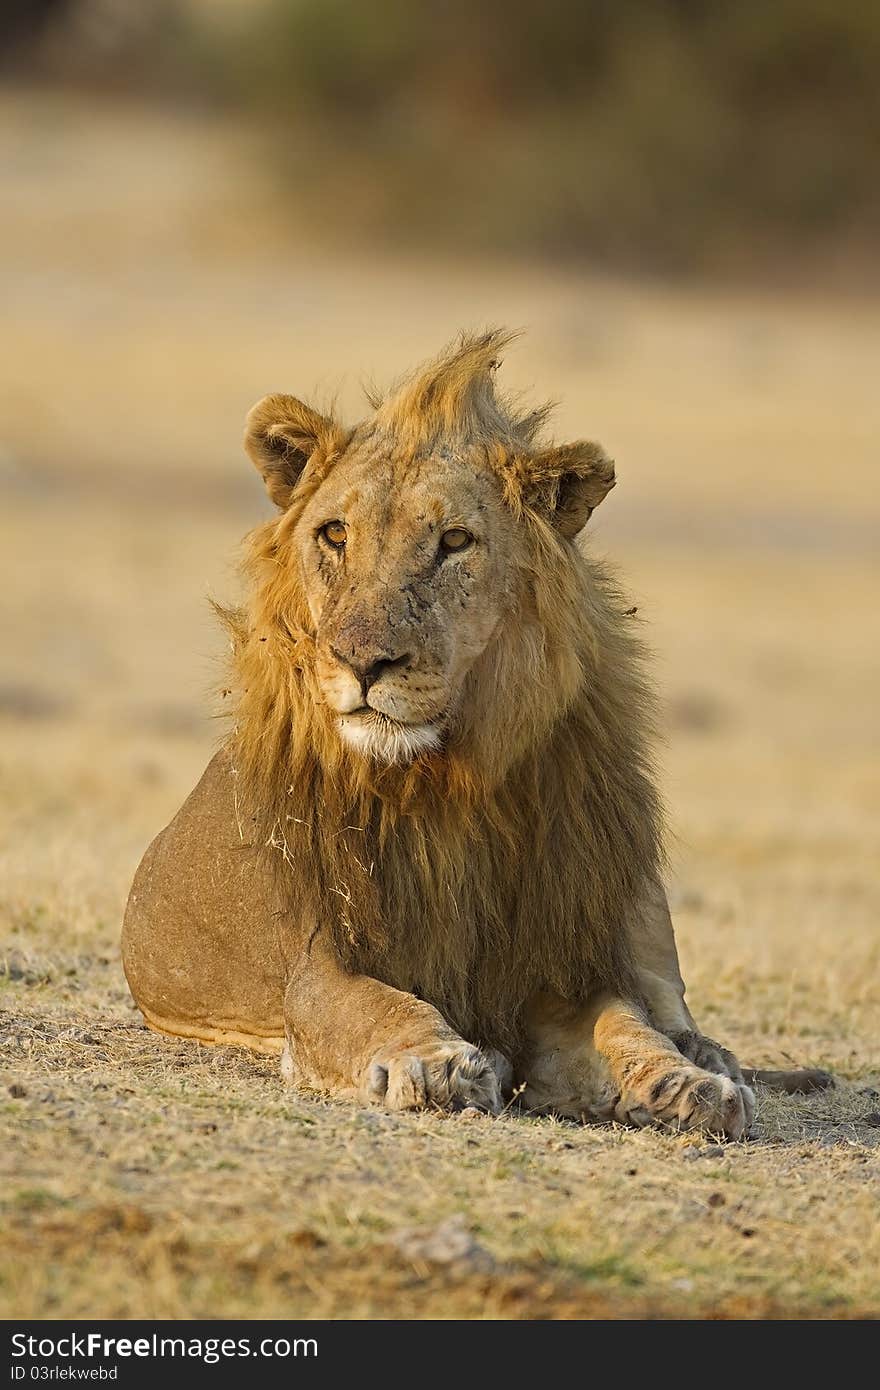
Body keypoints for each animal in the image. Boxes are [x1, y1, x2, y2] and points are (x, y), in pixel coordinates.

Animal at [120, 328, 828, 1139]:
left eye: (455, 541)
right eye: (334, 534)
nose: (363, 661)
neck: (441, 782)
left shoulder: (553, 961)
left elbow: (622, 1020)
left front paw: (684, 1084)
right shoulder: (317, 957)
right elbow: (374, 1003)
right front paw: (437, 1062)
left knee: (666, 1003)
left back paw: (709, 1059)